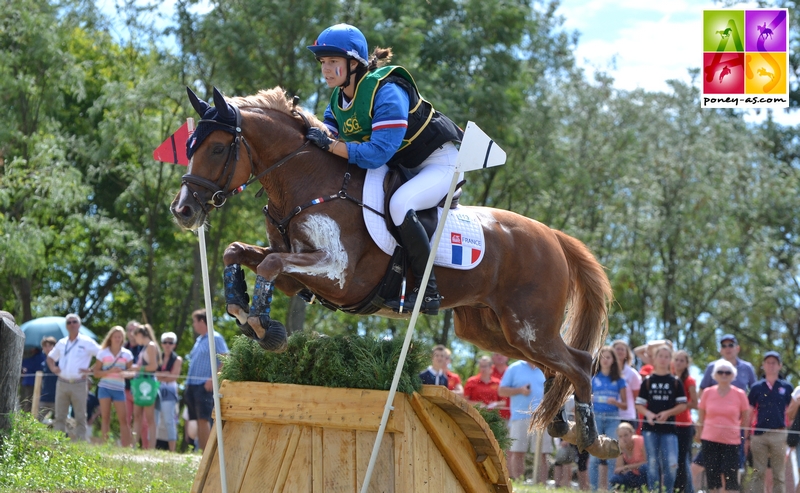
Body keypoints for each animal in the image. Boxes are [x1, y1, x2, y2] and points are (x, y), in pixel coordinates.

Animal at [170, 85, 620, 458]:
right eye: (190, 146)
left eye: (217, 149)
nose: (183, 210)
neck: (309, 182)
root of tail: (552, 236)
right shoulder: (294, 277)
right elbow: (238, 253)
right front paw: (244, 310)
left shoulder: (339, 276)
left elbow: (269, 262)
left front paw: (264, 326)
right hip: (493, 329)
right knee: (557, 366)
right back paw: (564, 424)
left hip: (529, 327)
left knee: (580, 363)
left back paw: (594, 438)